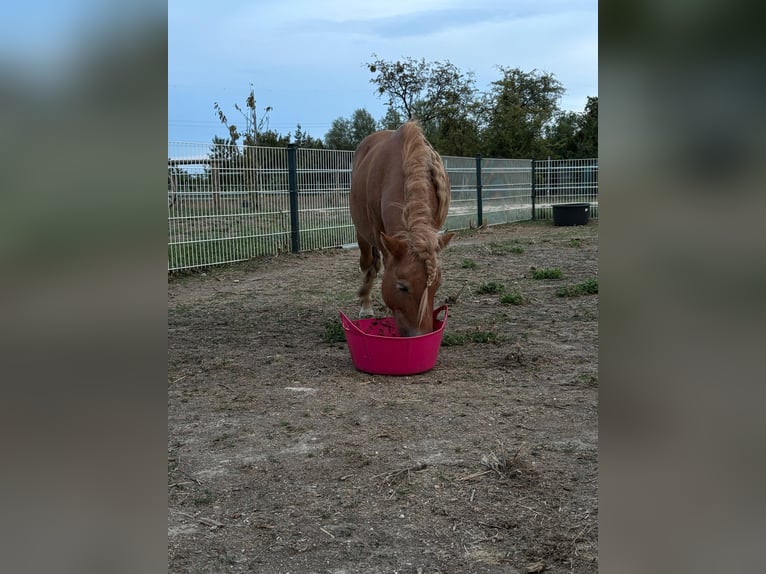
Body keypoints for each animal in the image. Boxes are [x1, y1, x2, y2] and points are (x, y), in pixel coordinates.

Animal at [349, 121, 454, 337]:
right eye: (402, 287)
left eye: (437, 285)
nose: (420, 335)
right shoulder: (380, 235)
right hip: (362, 233)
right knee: (368, 264)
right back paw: (365, 304)